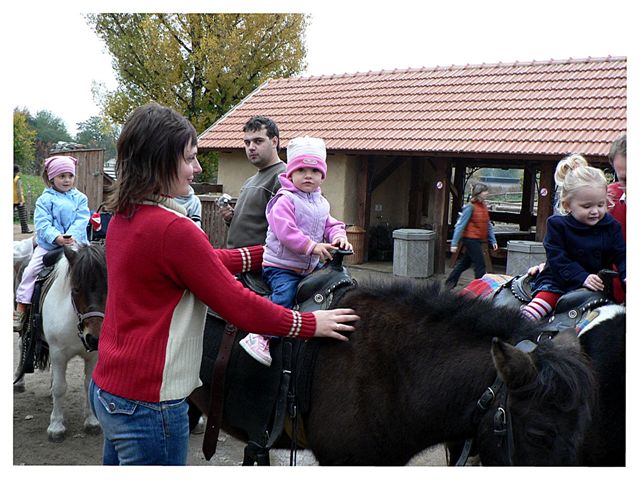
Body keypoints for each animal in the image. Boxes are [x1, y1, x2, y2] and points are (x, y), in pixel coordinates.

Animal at [14, 244, 106, 442]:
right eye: (76, 289)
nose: (95, 338)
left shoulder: (93, 356)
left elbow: (88, 385)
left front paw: (92, 422)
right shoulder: (58, 354)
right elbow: (59, 387)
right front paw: (56, 426)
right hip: (25, 329)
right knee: (21, 345)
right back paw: (19, 382)